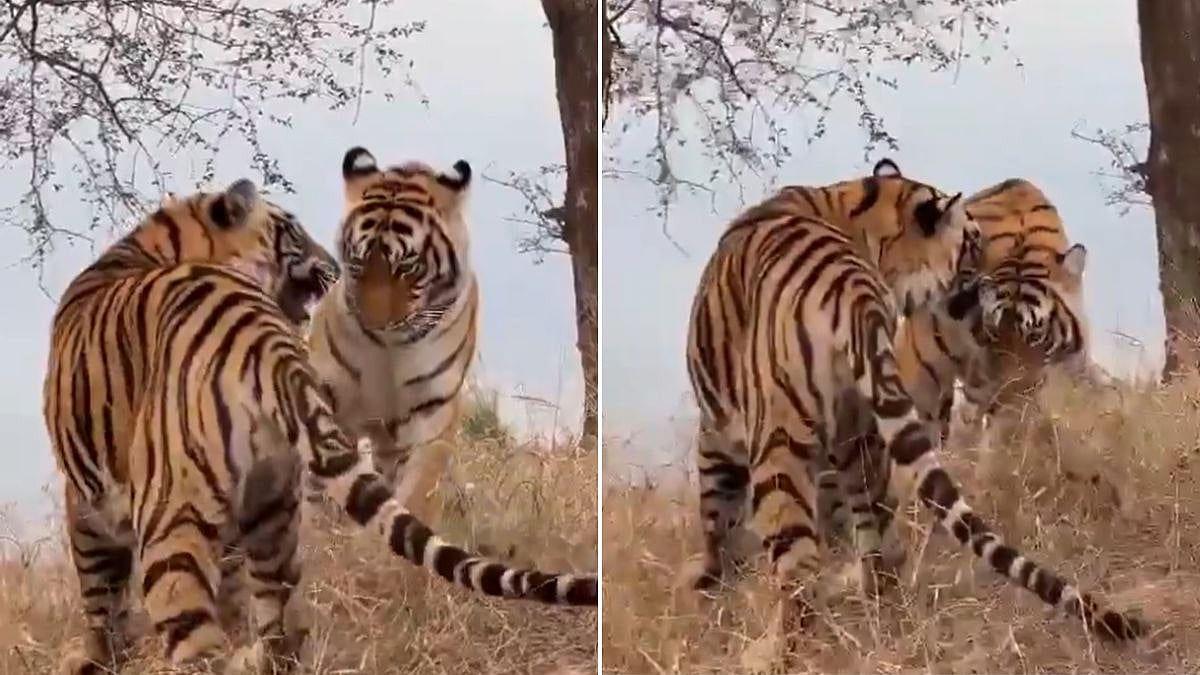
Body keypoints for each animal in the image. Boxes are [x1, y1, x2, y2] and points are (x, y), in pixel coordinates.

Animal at [303, 146, 481, 520]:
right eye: (357, 262)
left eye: (407, 266)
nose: (375, 323)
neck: (390, 348)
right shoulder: (327, 395)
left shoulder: (431, 416)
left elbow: (416, 492)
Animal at [684, 160, 1142, 643]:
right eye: (973, 243)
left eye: (1034, 336)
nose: (981, 284)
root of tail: (850, 293)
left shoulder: (718, 430)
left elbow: (717, 521)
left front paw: (711, 589)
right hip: (869, 435)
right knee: (880, 537)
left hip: (783, 445)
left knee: (798, 563)